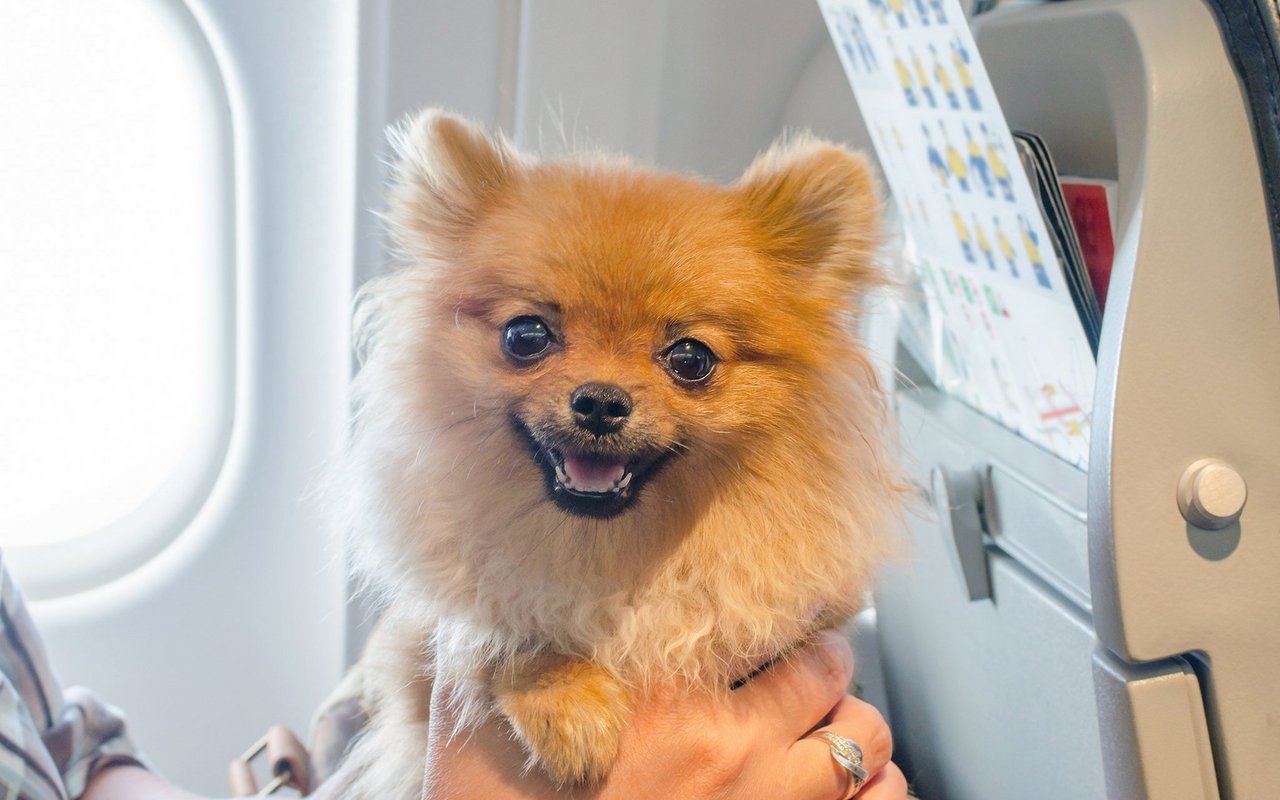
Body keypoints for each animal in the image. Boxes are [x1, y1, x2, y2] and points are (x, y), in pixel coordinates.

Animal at [335, 107, 906, 798]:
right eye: (525, 335)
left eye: (690, 358)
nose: (600, 402)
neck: (615, 558)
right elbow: (502, 619)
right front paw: (565, 698)